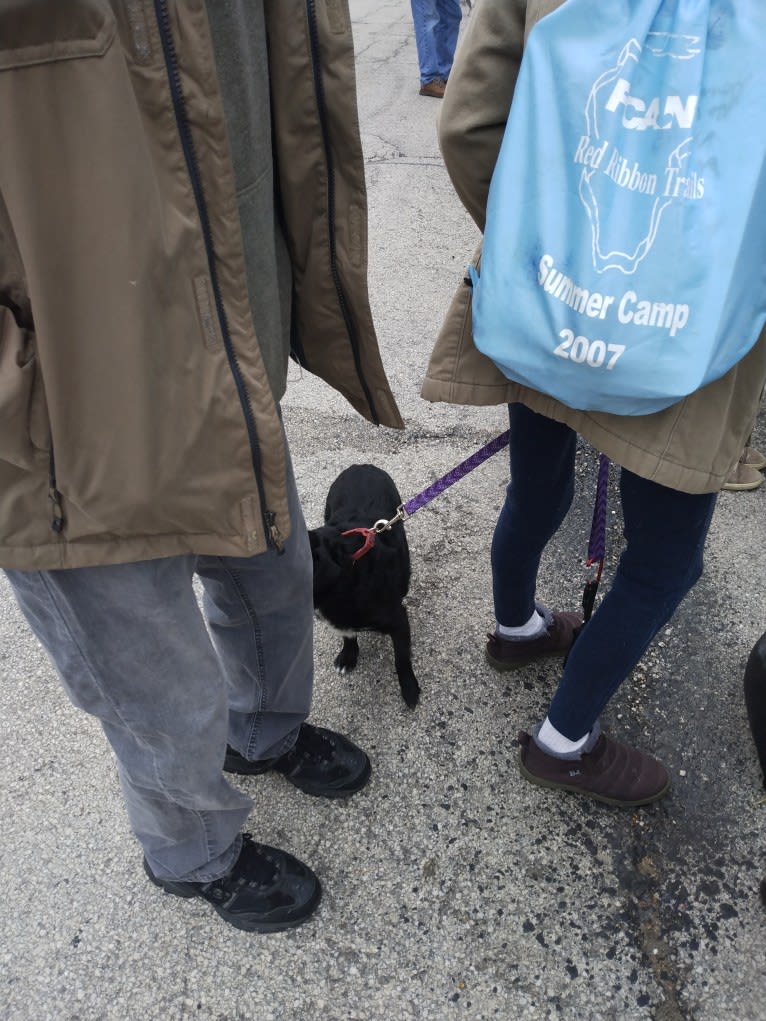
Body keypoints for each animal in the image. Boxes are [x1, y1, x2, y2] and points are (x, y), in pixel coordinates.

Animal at [308, 465, 422, 710]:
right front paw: (348, 656)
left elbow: (401, 659)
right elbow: (348, 635)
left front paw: (409, 689)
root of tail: (360, 466)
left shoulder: (399, 620)